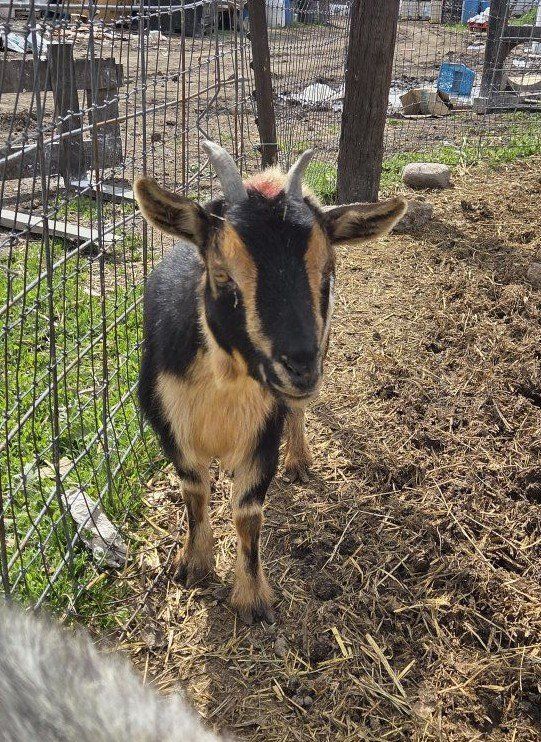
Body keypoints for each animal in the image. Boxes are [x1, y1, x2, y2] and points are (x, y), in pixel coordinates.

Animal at [134, 142, 407, 624]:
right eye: (221, 273)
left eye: (327, 270)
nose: (300, 367)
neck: (224, 383)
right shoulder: (167, 420)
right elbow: (194, 491)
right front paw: (194, 565)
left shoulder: (262, 432)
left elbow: (247, 514)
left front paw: (253, 598)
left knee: (297, 412)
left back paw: (299, 459)